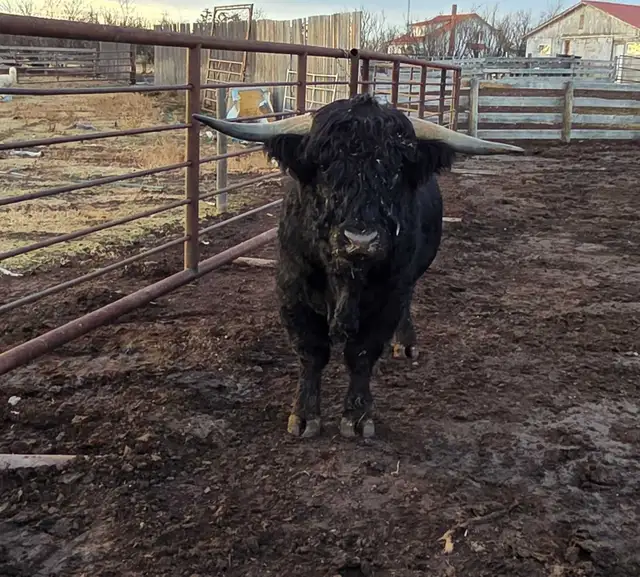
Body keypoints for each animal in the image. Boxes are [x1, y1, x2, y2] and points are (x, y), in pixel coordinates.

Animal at [194, 94, 524, 439]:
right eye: (324, 165)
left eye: (395, 169)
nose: (360, 240)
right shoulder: (292, 289)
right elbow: (311, 352)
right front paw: (304, 416)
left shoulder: (388, 295)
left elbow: (362, 353)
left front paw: (357, 417)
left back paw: (406, 345)